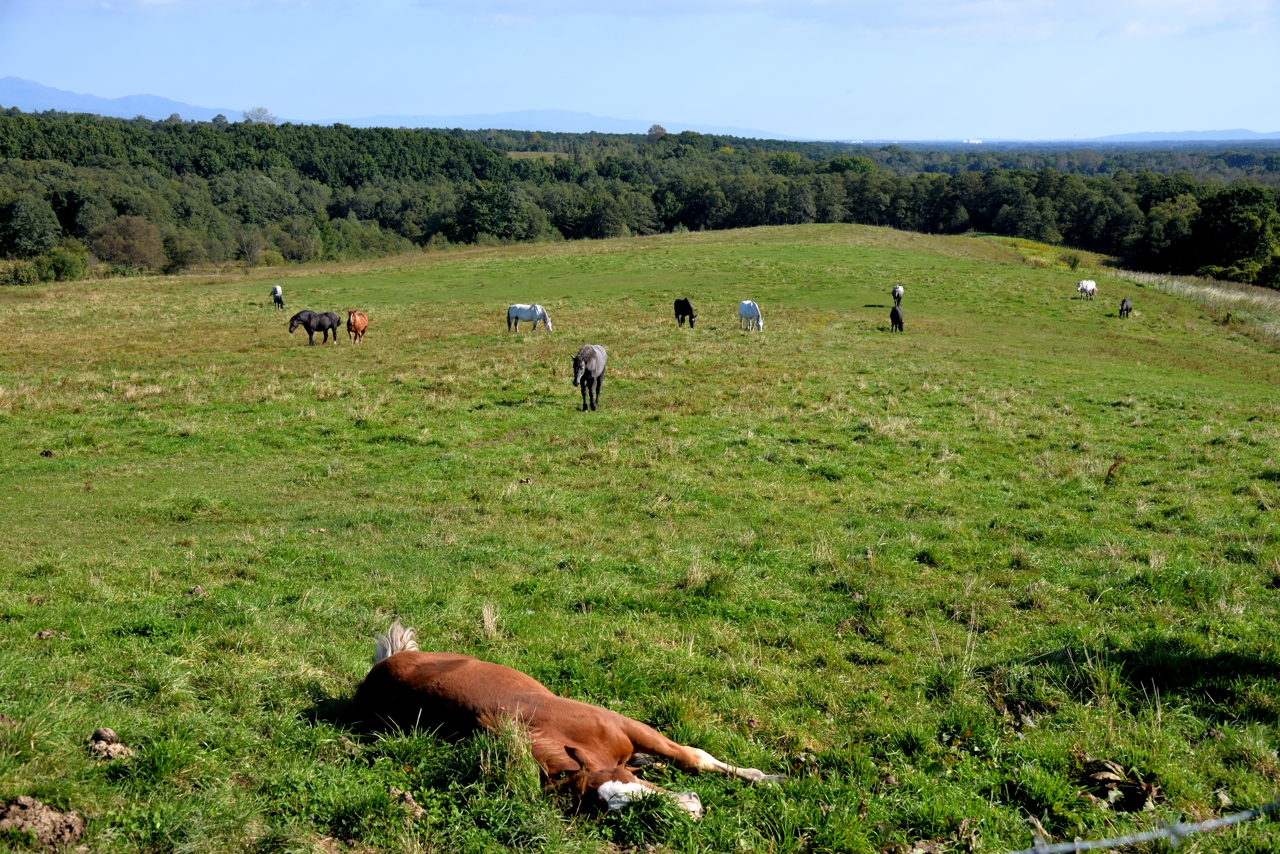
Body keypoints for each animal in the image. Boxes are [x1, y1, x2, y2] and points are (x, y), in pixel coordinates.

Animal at [355, 624, 783, 819]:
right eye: (612, 808)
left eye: (629, 783)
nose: (691, 808)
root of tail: (382, 667)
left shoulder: (629, 725)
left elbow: (695, 757)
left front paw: (767, 777)